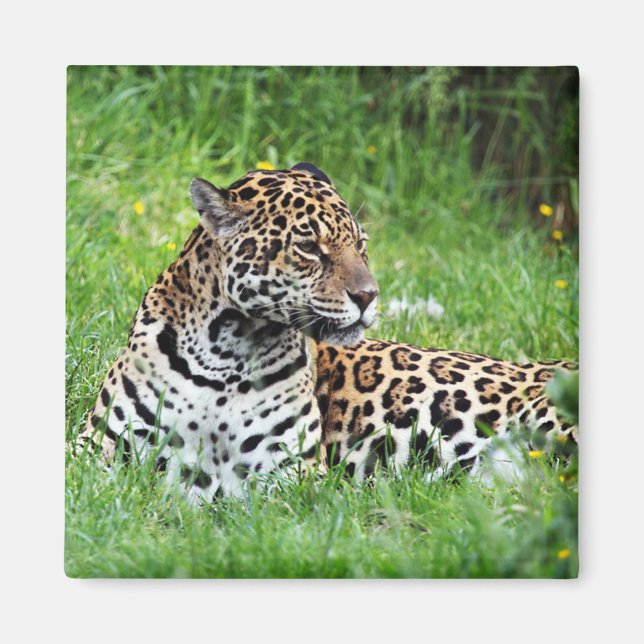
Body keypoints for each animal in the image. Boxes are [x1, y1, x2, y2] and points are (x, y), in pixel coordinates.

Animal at [79, 162, 578, 501]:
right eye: (308, 246)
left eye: (361, 244)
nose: (369, 295)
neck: (226, 351)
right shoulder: (97, 449)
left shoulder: (290, 475)